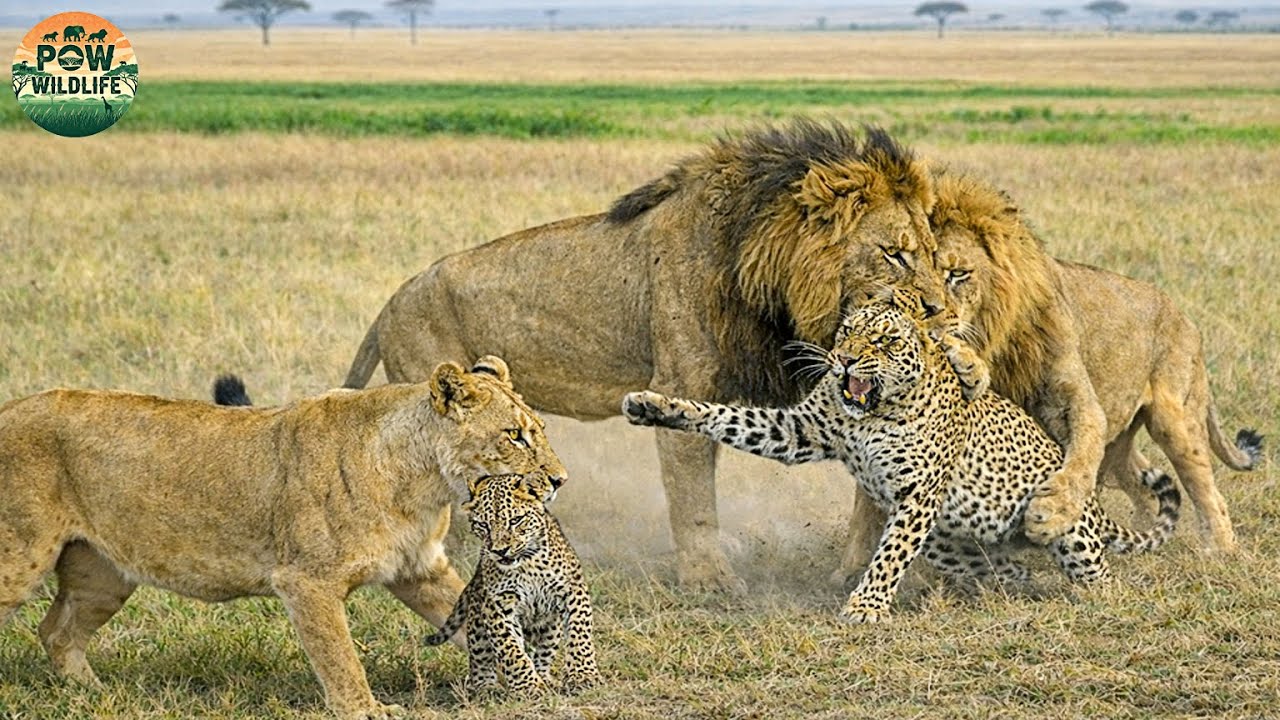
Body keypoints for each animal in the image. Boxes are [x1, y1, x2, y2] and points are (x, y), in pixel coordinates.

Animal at [0, 356, 566, 720]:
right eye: (515, 436)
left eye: (539, 429)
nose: (560, 481)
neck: (423, 482)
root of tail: (8, 410)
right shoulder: (306, 582)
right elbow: (339, 657)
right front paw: (366, 710)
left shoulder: (419, 568)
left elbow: (480, 620)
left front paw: (541, 681)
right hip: (20, 557)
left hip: (103, 574)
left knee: (56, 631)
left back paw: (94, 696)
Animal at [342, 120, 945, 593]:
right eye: (894, 254)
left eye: (935, 256)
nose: (939, 309)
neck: (761, 268)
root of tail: (391, 302)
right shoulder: (680, 384)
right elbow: (694, 500)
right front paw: (711, 583)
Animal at [835, 170, 1262, 583]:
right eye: (899, 264)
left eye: (957, 274)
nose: (925, 314)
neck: (997, 342)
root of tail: (1186, 319)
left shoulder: (1075, 398)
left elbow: (1080, 458)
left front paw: (1051, 512)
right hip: (1123, 443)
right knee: (1142, 485)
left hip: (1176, 422)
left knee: (1208, 492)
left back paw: (1221, 551)